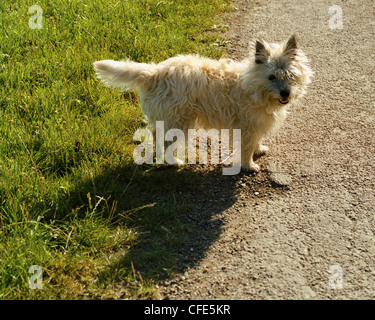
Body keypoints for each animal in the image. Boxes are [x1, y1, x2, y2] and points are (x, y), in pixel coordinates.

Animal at [94, 33, 314, 171]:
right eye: (272, 77)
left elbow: (256, 141)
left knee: (156, 137)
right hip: (177, 121)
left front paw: (259, 149)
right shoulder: (247, 126)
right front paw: (249, 165)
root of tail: (153, 72)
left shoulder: (256, 123)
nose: (285, 93)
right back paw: (175, 162)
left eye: (291, 75)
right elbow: (246, 148)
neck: (252, 86)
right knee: (165, 143)